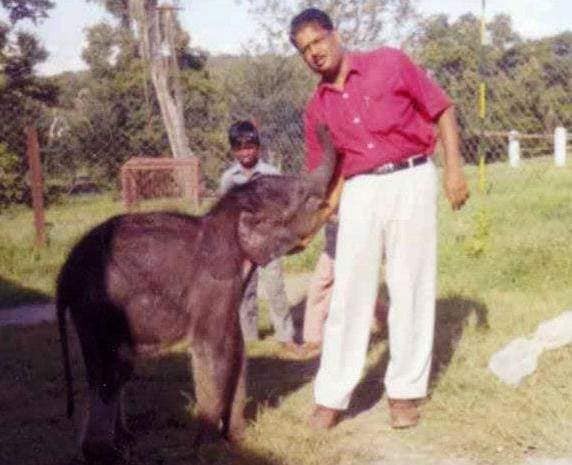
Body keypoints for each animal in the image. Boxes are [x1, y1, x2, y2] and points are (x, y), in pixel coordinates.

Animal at [54, 123, 336, 460]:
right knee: (114, 369)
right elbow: (212, 350)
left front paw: (236, 439)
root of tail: (64, 273)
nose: (324, 125)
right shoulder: (213, 283)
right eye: (304, 200)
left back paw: (125, 442)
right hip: (97, 308)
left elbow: (237, 349)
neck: (230, 215)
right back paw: (105, 454)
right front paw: (209, 447)